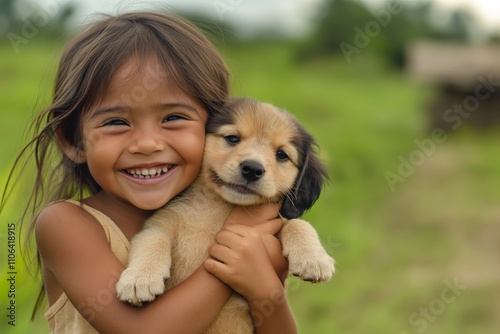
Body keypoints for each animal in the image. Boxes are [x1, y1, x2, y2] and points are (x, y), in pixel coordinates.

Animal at [116, 98, 336, 332]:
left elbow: (297, 224)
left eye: (282, 155)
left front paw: (315, 259)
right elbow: (153, 240)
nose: (252, 169)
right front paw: (140, 280)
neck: (217, 207)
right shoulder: (158, 224)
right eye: (232, 138)